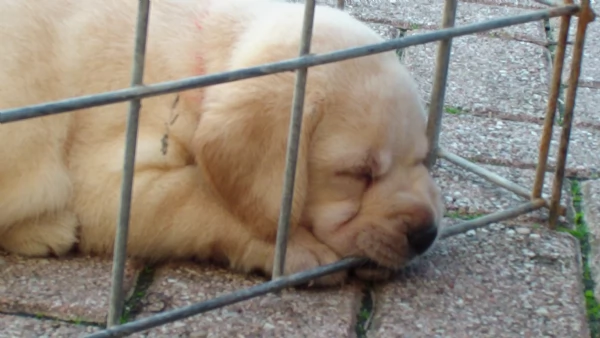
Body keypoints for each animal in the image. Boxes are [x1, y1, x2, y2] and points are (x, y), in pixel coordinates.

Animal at [0, 0, 440, 286]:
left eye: (422, 158)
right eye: (358, 173)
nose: (427, 234)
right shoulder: (110, 185)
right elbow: (201, 199)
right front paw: (296, 248)